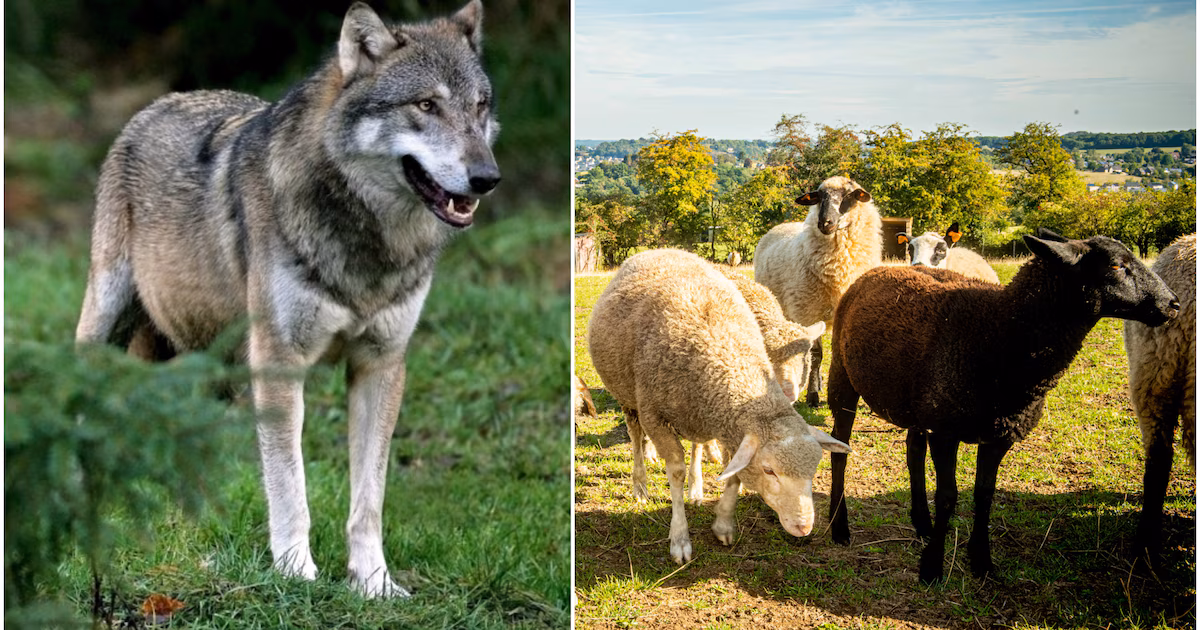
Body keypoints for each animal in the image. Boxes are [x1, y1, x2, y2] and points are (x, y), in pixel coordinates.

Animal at [74, 1, 500, 598]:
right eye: (426, 105)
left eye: (479, 107)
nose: (488, 177)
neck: (367, 245)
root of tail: (160, 101)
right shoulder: (279, 364)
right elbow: (289, 485)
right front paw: (296, 572)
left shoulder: (381, 365)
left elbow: (368, 499)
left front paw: (373, 582)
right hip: (109, 321)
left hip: (210, 367)